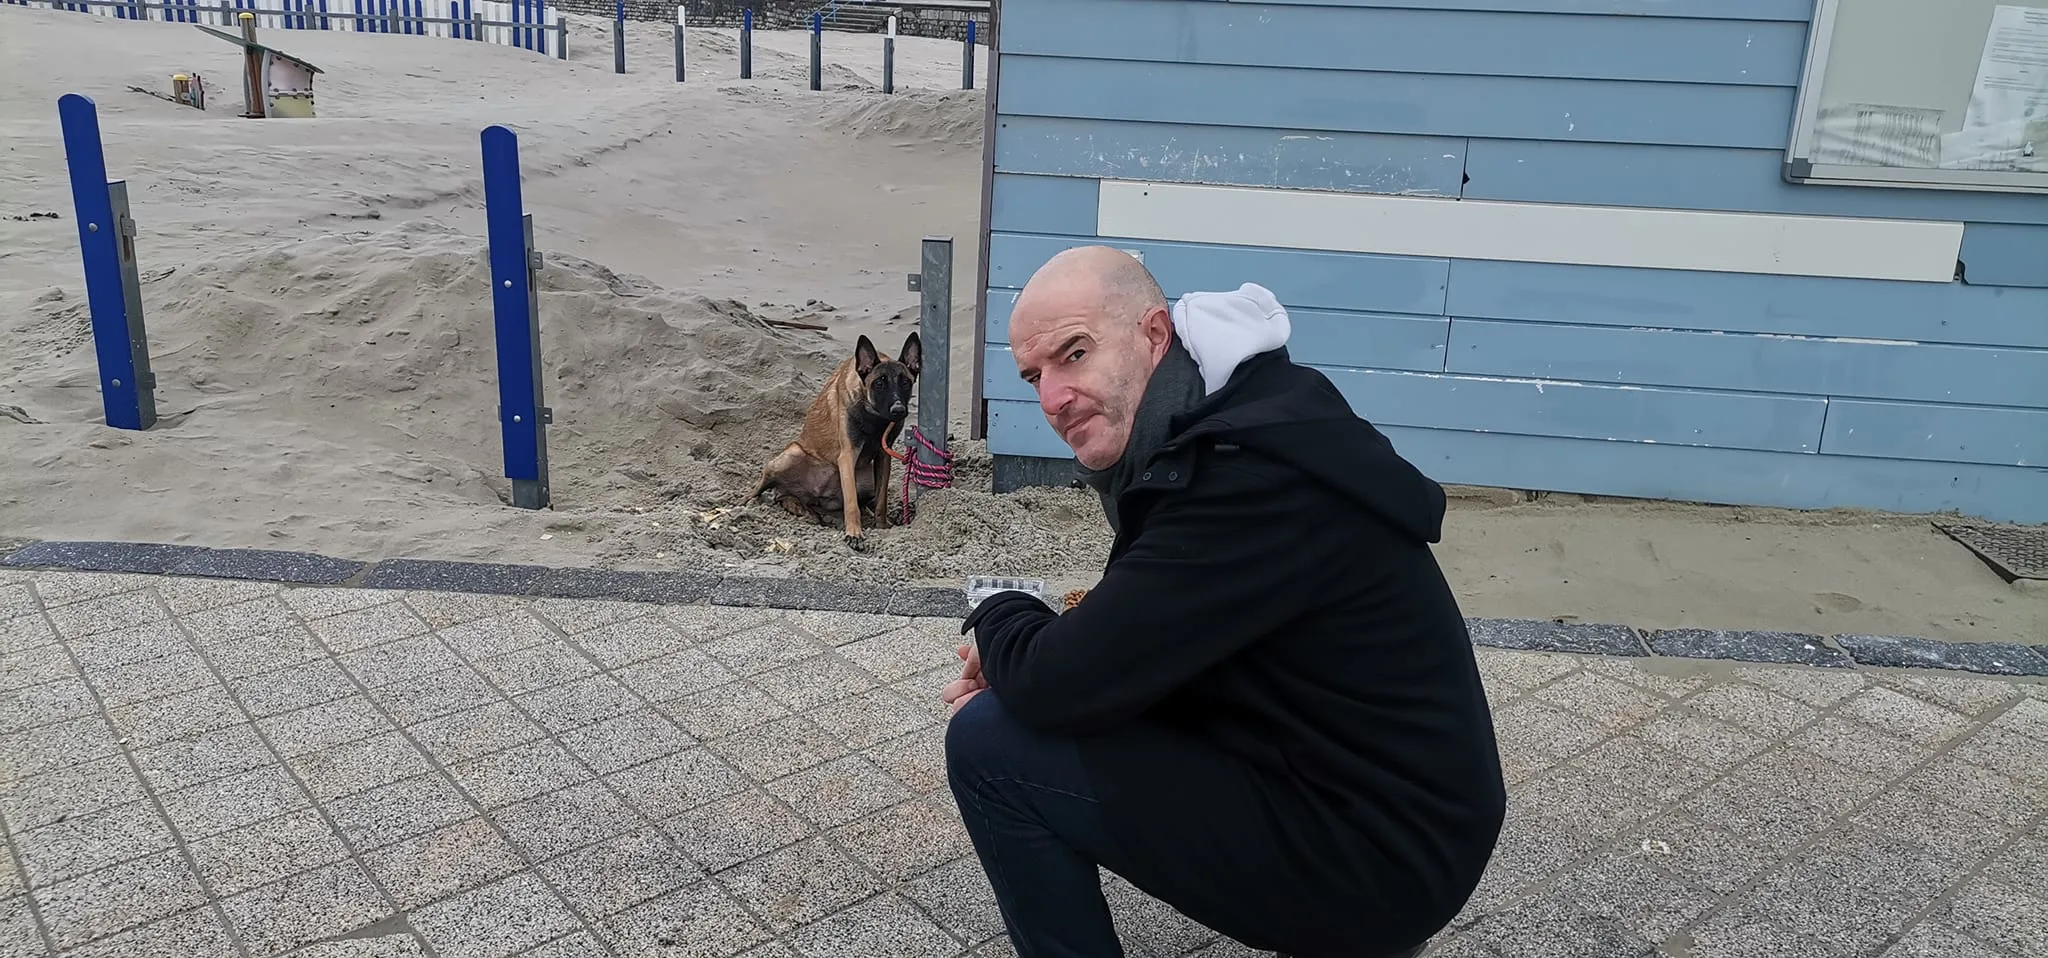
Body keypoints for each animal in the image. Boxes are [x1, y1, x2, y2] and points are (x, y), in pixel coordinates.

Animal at [745, 335, 921, 544]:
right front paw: (854, 533)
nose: (898, 410)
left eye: (905, 383)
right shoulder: (847, 456)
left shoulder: (883, 457)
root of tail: (816, 493)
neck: (873, 417)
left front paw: (882, 525)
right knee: (769, 489)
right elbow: (851, 502)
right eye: (879, 383)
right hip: (790, 455)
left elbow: (881, 499)